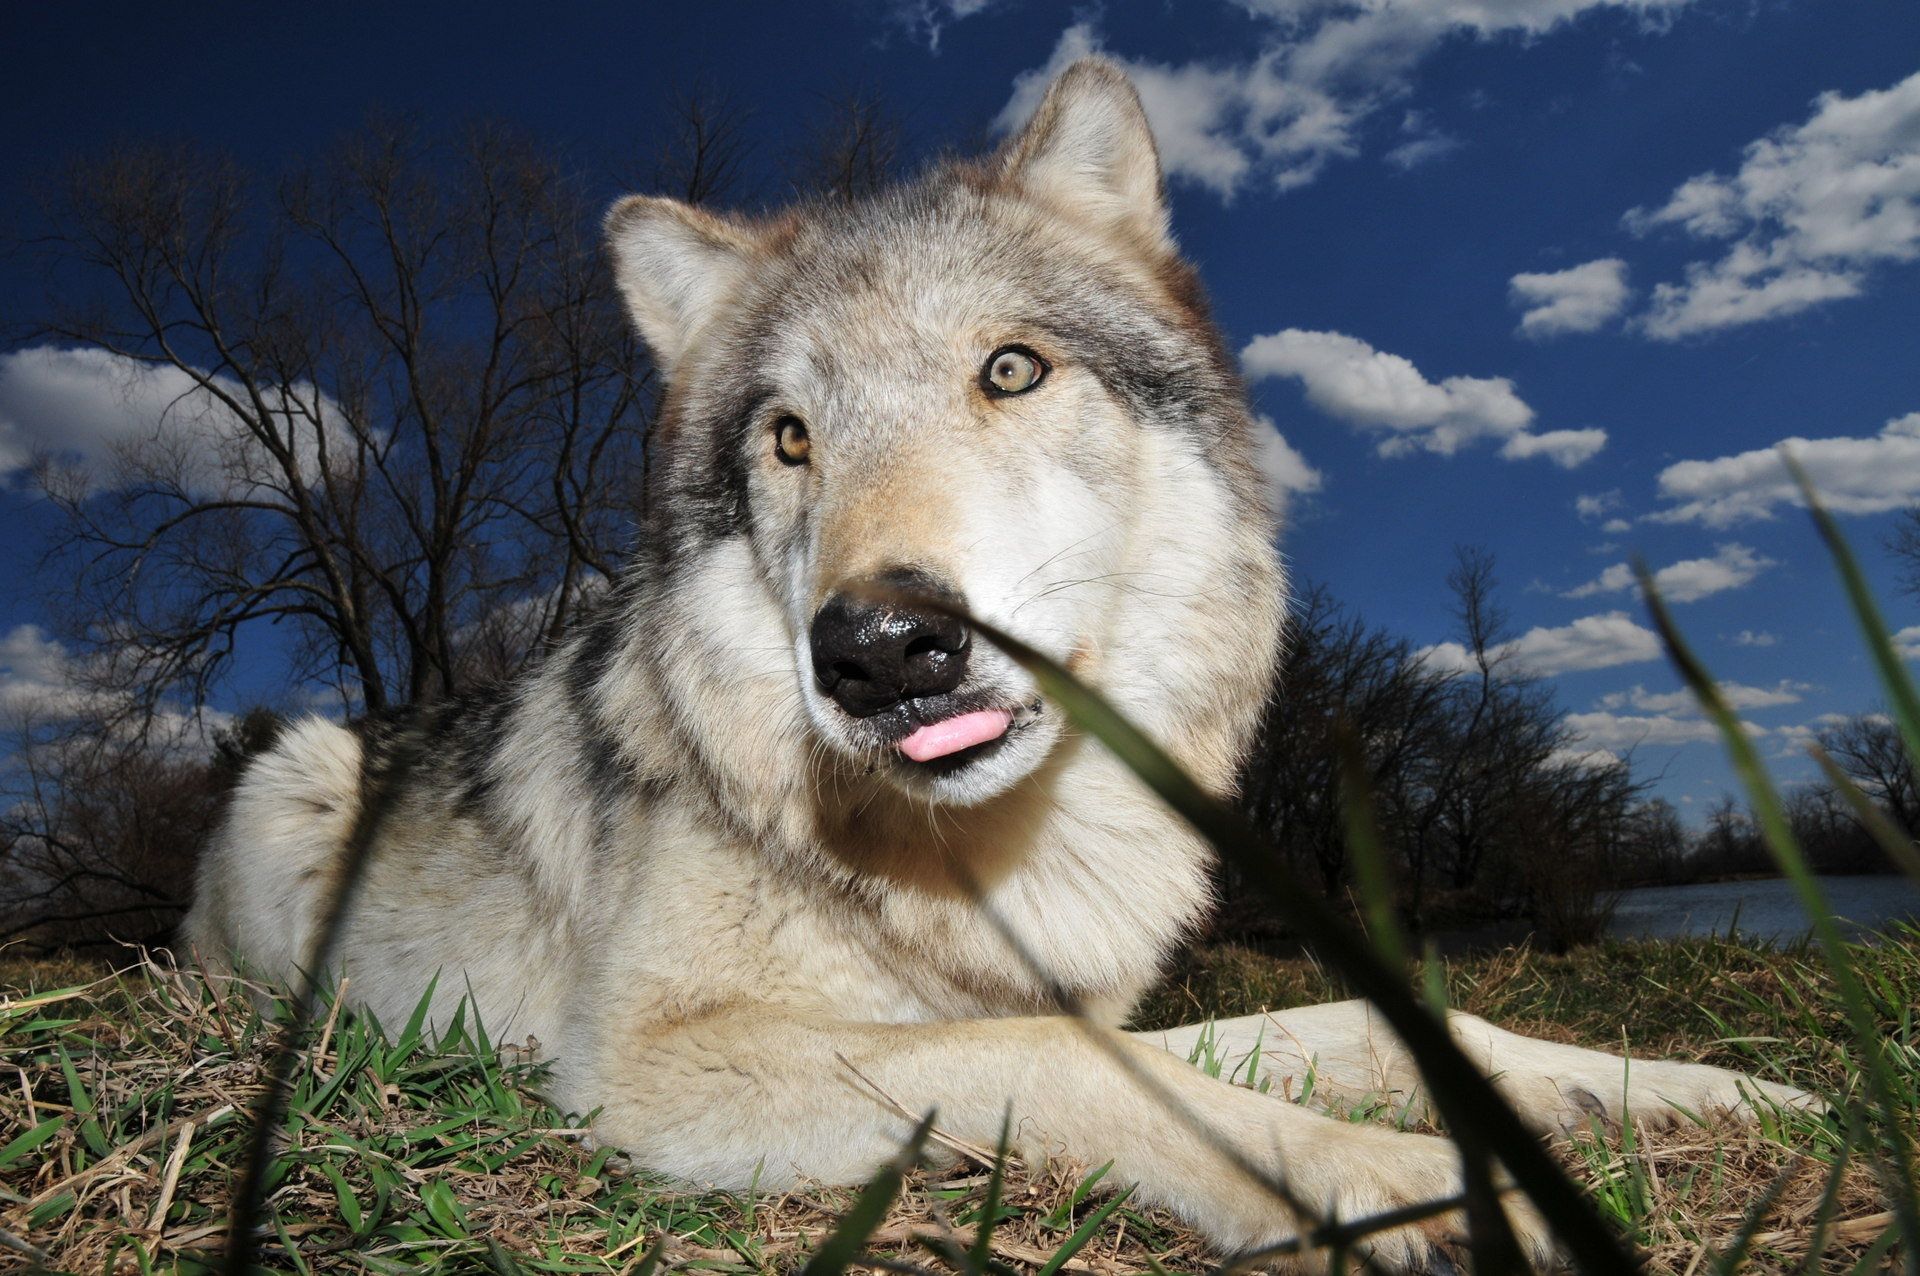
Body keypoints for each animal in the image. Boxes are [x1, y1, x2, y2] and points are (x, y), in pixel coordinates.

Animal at [187, 59, 1809, 1270]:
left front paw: (1697, 1091)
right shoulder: (654, 1062)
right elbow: (1068, 1062)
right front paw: (1398, 1183)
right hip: (294, 777)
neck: (996, 855)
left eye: (1011, 370)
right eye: (790, 439)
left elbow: (1374, 1017)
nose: (880, 647)